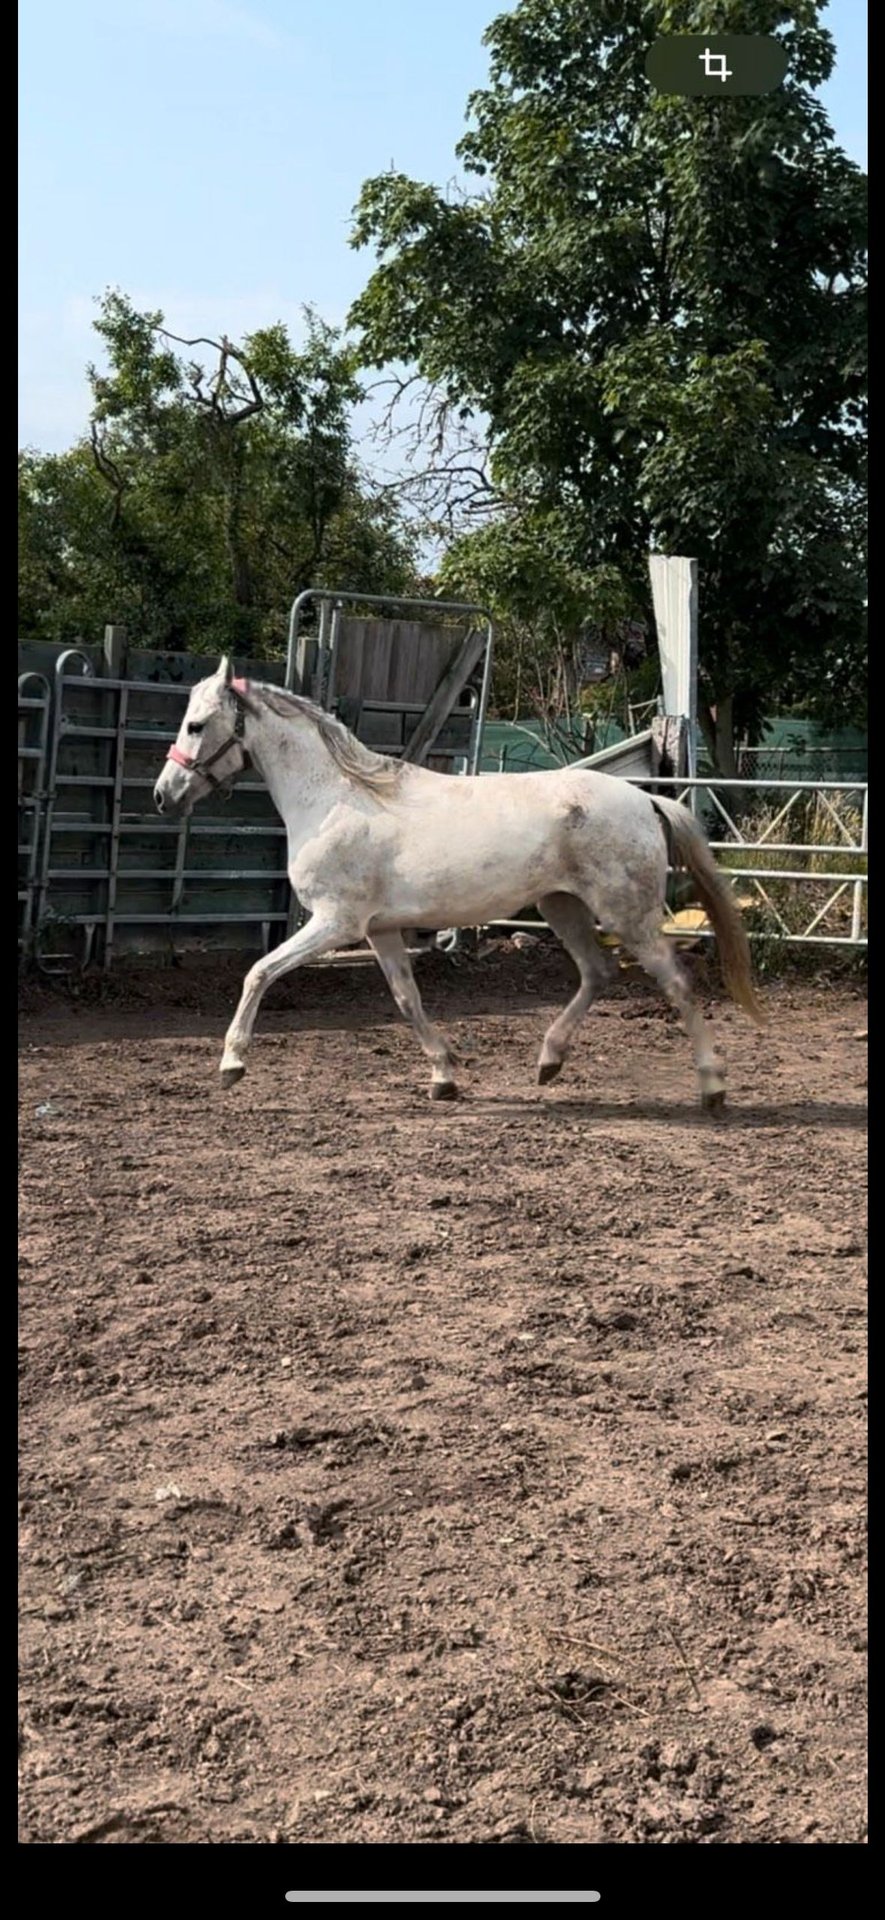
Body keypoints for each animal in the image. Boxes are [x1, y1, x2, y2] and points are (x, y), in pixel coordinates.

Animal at [153, 656, 764, 1106]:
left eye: (196, 724)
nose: (164, 795)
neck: (336, 800)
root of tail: (646, 799)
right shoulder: (379, 931)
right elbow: (407, 999)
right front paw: (444, 1076)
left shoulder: (335, 924)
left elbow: (258, 973)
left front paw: (231, 1063)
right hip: (562, 907)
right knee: (598, 973)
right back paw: (548, 1062)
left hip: (626, 914)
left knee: (676, 981)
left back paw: (712, 1087)